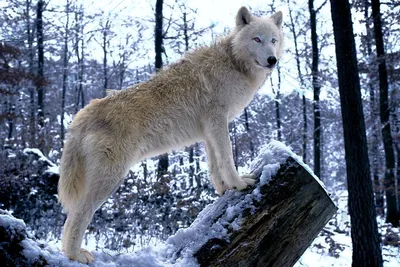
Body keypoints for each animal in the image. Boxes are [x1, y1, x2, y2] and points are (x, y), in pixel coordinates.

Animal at [59, 6, 284, 264]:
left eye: (273, 40)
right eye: (257, 39)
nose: (272, 60)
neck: (233, 62)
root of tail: (82, 116)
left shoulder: (208, 130)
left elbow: (214, 166)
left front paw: (224, 190)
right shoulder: (218, 121)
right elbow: (227, 158)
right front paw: (238, 185)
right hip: (109, 179)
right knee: (78, 214)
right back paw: (75, 255)